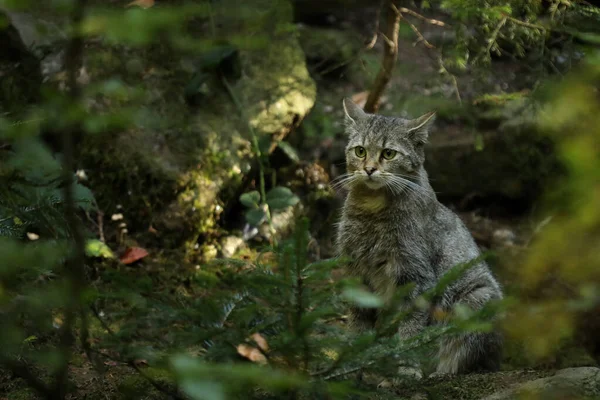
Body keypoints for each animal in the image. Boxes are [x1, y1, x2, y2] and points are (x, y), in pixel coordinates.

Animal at [336, 97, 504, 376]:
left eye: (388, 153)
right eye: (360, 151)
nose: (369, 169)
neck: (372, 208)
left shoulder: (414, 276)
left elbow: (410, 329)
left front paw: (406, 370)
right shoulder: (356, 271)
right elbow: (357, 324)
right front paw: (349, 366)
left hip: (477, 298)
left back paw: (440, 371)